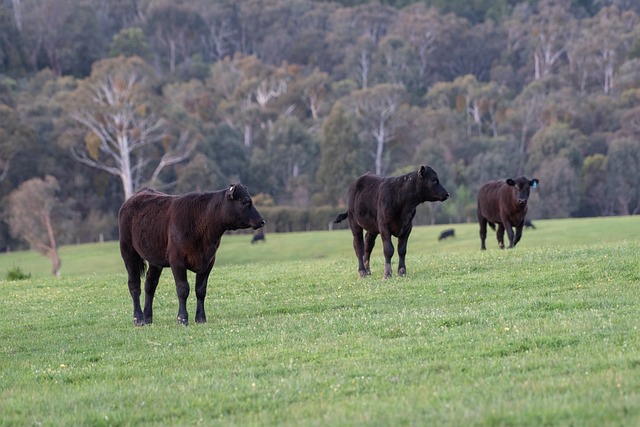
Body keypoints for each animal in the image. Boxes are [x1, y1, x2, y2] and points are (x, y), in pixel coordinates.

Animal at [118, 185, 264, 328]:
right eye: (245, 202)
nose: (262, 221)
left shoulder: (208, 262)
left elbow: (200, 290)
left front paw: (201, 318)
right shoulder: (177, 262)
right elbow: (183, 289)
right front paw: (182, 319)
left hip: (155, 260)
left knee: (150, 284)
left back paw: (148, 318)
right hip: (128, 252)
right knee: (134, 285)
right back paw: (138, 319)